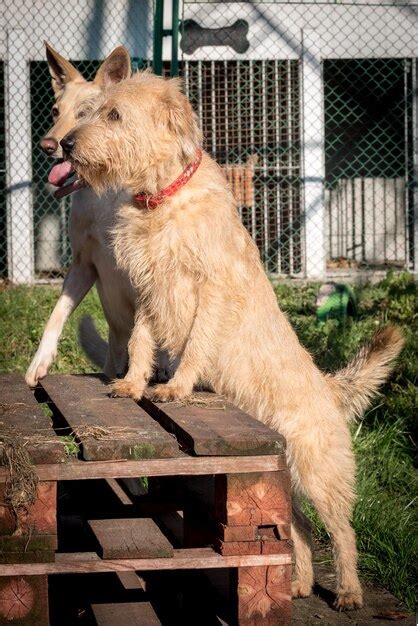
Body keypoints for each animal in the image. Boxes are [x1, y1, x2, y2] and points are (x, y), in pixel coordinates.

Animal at [60, 69, 404, 608]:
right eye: (92, 111)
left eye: (114, 115)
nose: (66, 145)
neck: (161, 197)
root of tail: (328, 387)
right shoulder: (149, 293)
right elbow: (139, 344)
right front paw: (133, 384)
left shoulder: (209, 288)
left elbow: (197, 343)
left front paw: (176, 387)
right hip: (281, 473)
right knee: (300, 527)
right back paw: (300, 583)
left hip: (318, 473)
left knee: (342, 531)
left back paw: (348, 591)